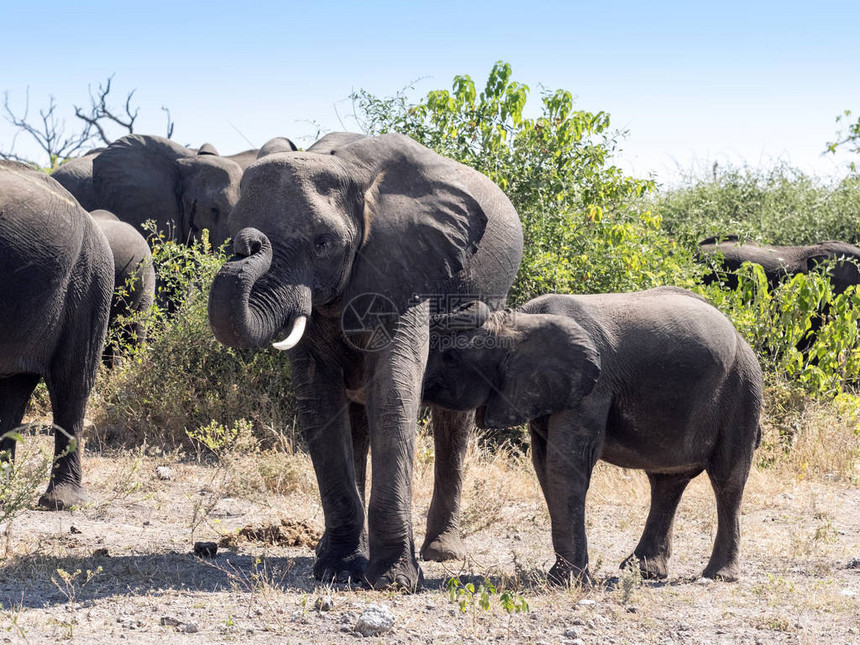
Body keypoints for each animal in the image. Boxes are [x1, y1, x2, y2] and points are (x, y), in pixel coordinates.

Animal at [207, 131, 524, 588]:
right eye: (230, 232)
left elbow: (392, 391)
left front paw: (394, 581)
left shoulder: (404, 265)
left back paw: (442, 553)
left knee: (452, 419)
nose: (249, 242)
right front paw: (338, 571)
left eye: (323, 243)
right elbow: (318, 399)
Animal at [426, 286, 764, 584]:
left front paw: (565, 581)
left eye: (451, 357)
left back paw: (718, 576)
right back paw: (643, 571)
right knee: (667, 482)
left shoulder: (593, 389)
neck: (518, 320)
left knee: (728, 479)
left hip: (742, 392)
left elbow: (566, 466)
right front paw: (564, 576)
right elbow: (545, 467)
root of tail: (740, 335)